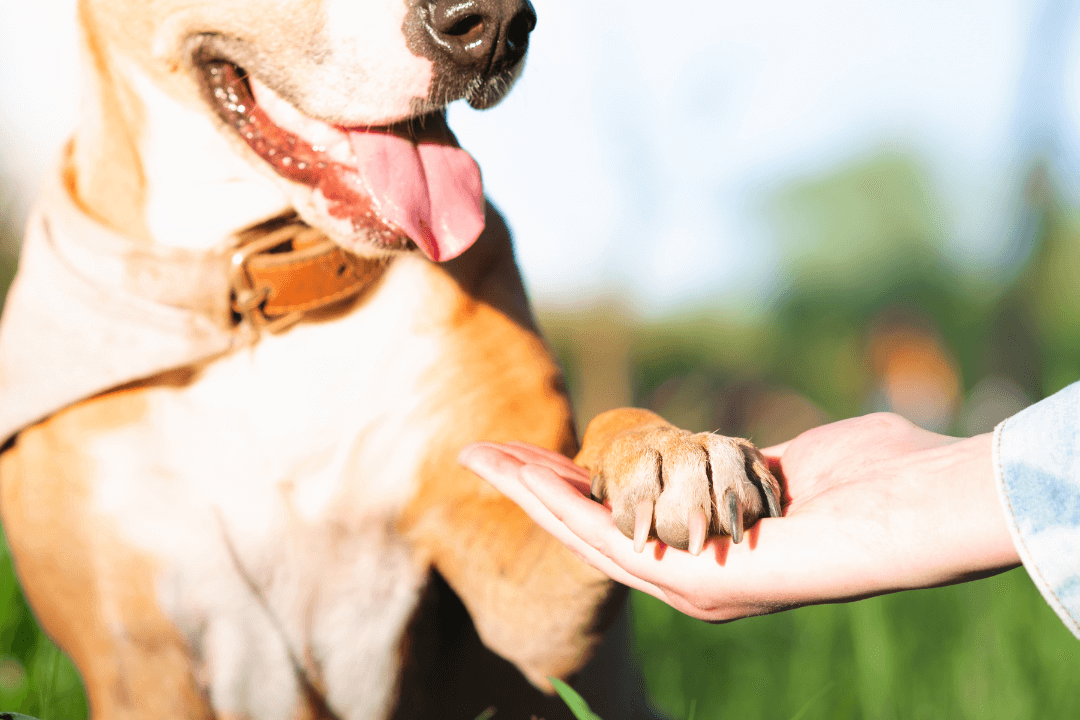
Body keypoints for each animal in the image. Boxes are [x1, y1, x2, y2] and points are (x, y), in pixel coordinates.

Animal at [0, 2, 777, 716]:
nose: (495, 24)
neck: (272, 312)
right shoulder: (140, 656)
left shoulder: (529, 610)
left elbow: (612, 429)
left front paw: (675, 451)